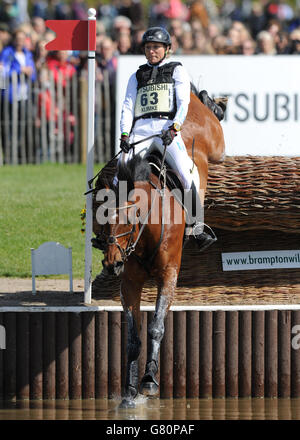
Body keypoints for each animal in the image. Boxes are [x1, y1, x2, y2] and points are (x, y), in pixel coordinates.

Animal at [91, 89, 225, 410]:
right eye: (102, 219)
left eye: (129, 221)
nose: (112, 264)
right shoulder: (129, 281)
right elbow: (133, 336)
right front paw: (129, 391)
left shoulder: (168, 274)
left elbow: (156, 326)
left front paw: (149, 382)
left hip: (215, 142)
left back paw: (211, 101)